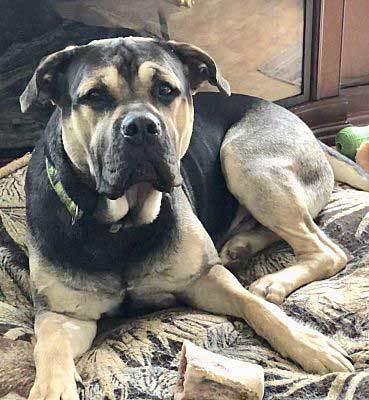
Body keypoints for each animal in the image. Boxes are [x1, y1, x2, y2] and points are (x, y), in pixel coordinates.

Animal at [20, 36, 368, 398]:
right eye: (95, 96)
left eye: (165, 90)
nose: (141, 126)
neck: (123, 224)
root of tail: (306, 128)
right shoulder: (63, 314)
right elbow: (50, 346)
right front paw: (51, 388)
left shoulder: (204, 278)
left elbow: (256, 306)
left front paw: (306, 341)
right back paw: (242, 246)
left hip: (243, 158)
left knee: (326, 249)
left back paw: (271, 280)